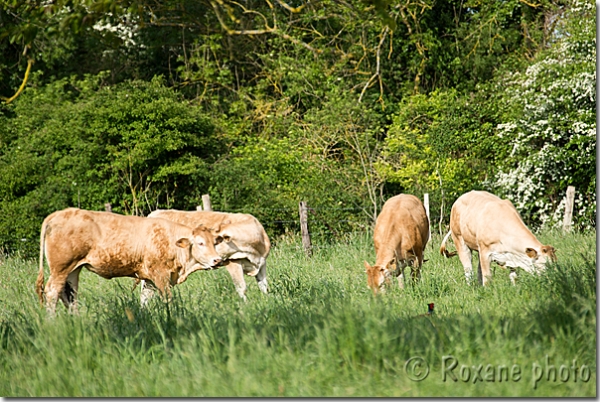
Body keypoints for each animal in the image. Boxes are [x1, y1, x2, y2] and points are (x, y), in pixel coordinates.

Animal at [35, 207, 223, 314]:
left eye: (214, 242)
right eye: (200, 242)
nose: (217, 260)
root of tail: (57, 215)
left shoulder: (149, 279)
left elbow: (145, 300)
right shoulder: (160, 276)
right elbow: (168, 300)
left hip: (73, 270)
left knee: (69, 295)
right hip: (61, 268)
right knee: (52, 292)